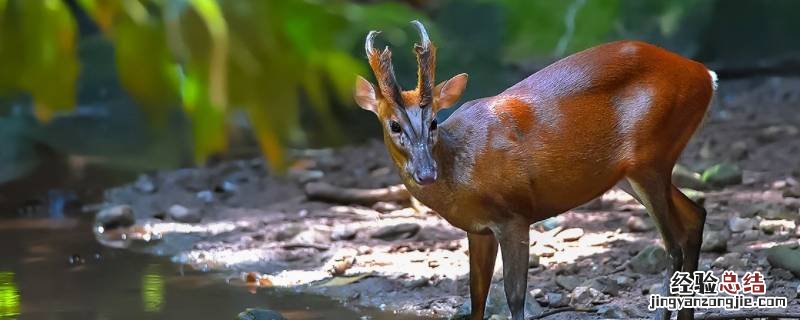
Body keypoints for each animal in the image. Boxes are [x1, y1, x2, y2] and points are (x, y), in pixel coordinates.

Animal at [354, 20, 716, 320]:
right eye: (394, 125)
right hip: (633, 170)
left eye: (433, 122)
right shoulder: (478, 229)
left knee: (673, 245)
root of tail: (705, 75)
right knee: (695, 216)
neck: (459, 169)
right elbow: (477, 298)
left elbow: (514, 297)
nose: (426, 173)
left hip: (650, 156)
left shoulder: (514, 214)